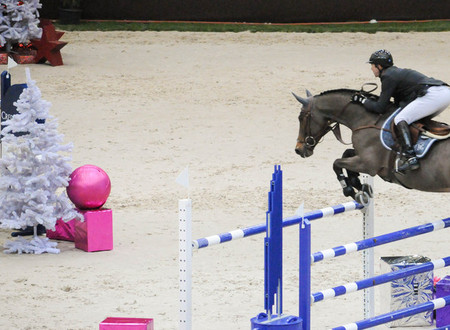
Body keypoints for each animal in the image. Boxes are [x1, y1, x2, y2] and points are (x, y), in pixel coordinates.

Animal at [292, 87, 450, 202]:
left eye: (301, 117)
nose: (298, 149)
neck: (366, 120)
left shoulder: (369, 164)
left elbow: (336, 163)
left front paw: (351, 190)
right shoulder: (362, 157)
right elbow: (346, 153)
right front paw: (357, 183)